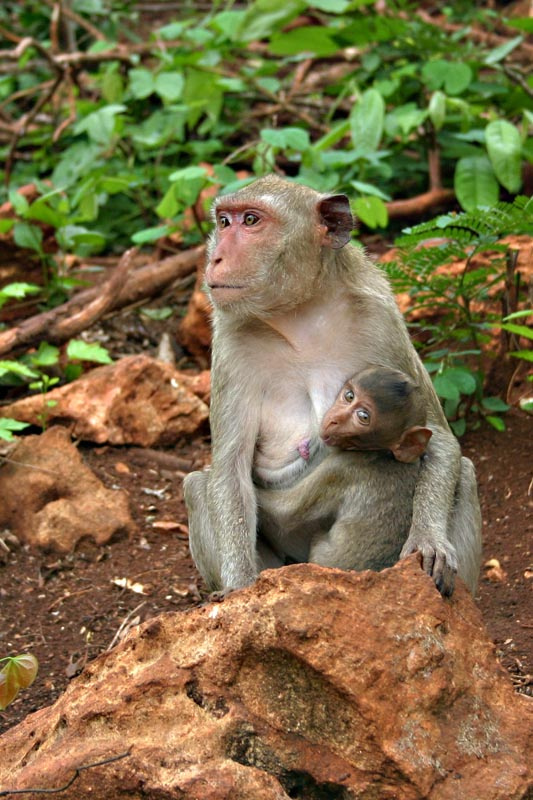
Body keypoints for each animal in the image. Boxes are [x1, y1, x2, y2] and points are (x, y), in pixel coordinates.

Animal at [183, 176, 482, 597]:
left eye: (252, 220)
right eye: (224, 222)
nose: (216, 259)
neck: (300, 315)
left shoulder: (379, 317)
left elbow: (437, 436)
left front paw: (428, 540)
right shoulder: (230, 340)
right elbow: (231, 469)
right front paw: (240, 588)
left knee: (465, 472)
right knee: (197, 485)